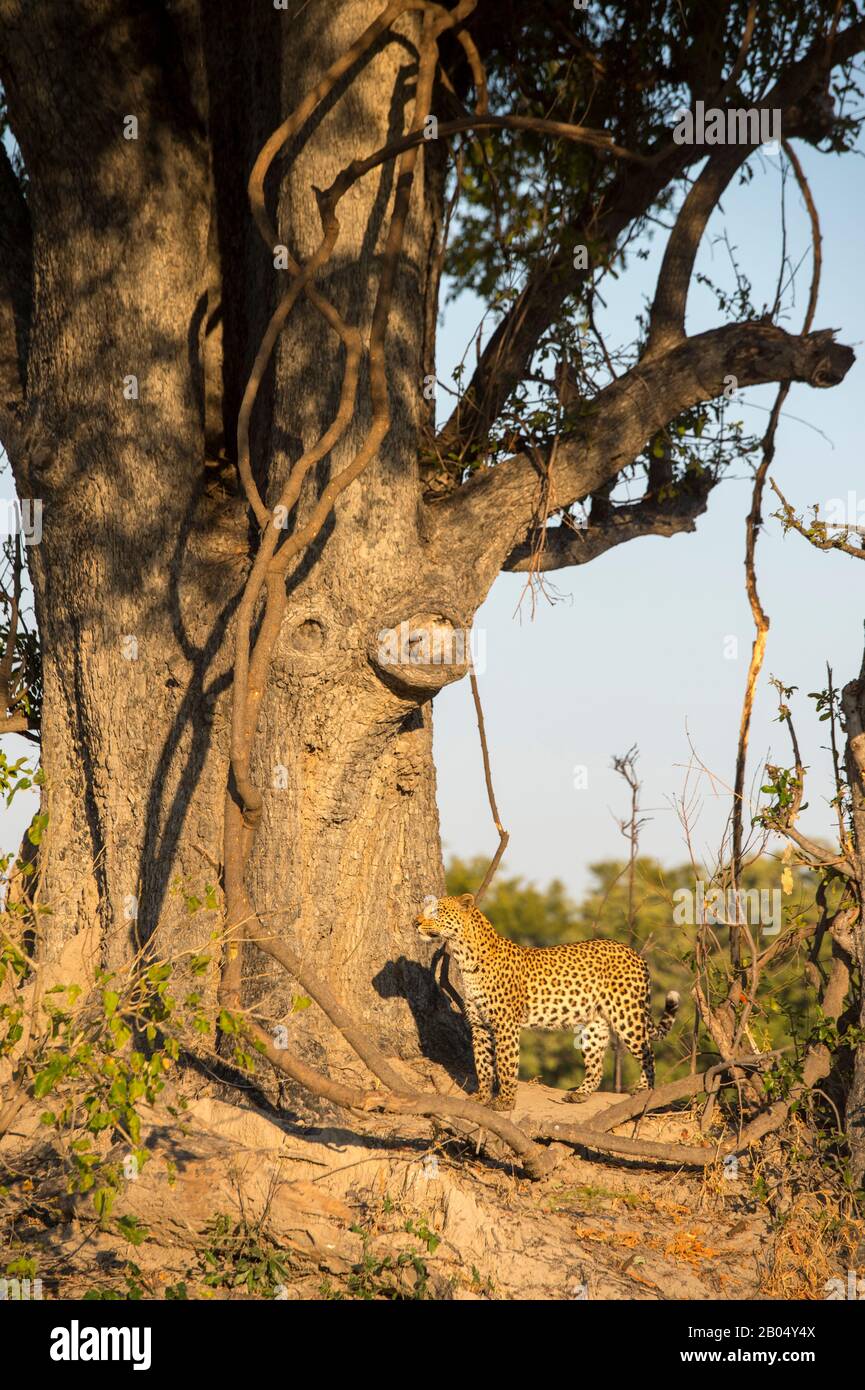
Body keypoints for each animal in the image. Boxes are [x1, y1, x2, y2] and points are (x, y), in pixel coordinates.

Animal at [417, 893, 679, 1112]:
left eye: (436, 911)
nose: (415, 922)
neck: (464, 956)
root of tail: (635, 954)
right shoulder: (479, 1023)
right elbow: (482, 1063)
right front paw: (482, 1096)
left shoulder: (505, 1024)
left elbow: (505, 1063)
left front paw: (505, 1102)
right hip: (595, 1023)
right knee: (596, 1064)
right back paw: (580, 1094)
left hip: (627, 1014)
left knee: (647, 1052)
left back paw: (644, 1089)